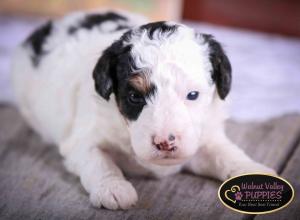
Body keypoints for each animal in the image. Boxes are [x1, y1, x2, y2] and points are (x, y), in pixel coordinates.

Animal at [11, 10, 276, 210]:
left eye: (193, 95)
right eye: (134, 97)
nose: (165, 143)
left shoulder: (206, 137)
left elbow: (227, 154)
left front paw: (254, 172)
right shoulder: (82, 138)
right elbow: (98, 160)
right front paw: (113, 188)